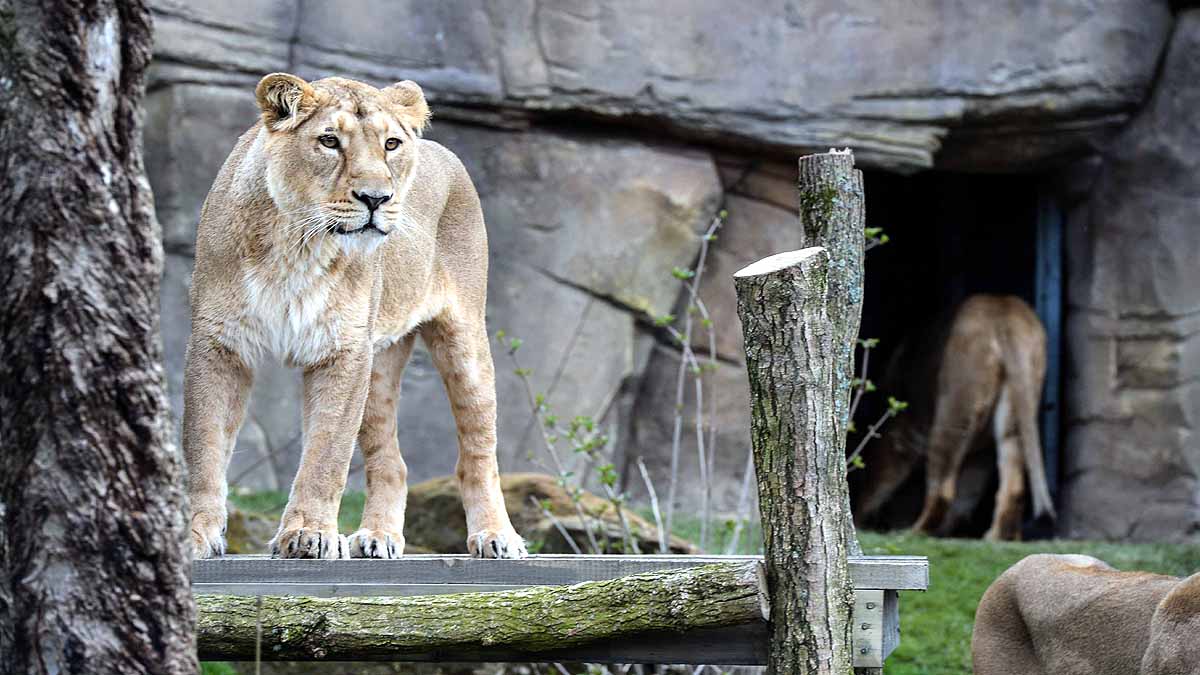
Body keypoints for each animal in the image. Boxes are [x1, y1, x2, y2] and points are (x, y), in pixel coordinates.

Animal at [182, 73, 526, 560]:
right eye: (329, 141)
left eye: (391, 144)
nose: (376, 198)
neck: (297, 244)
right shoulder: (220, 344)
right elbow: (205, 446)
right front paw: (195, 534)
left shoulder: (343, 351)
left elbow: (326, 454)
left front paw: (308, 533)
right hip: (377, 367)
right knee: (392, 463)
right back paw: (378, 536)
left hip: (462, 338)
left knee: (478, 451)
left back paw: (495, 536)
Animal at [852, 294, 1054, 540]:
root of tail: (1004, 313)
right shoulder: (979, 455)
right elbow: (966, 496)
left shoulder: (898, 435)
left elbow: (877, 480)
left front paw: (859, 520)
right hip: (1015, 412)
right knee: (1013, 486)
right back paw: (996, 537)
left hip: (953, 409)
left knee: (942, 491)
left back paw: (913, 532)